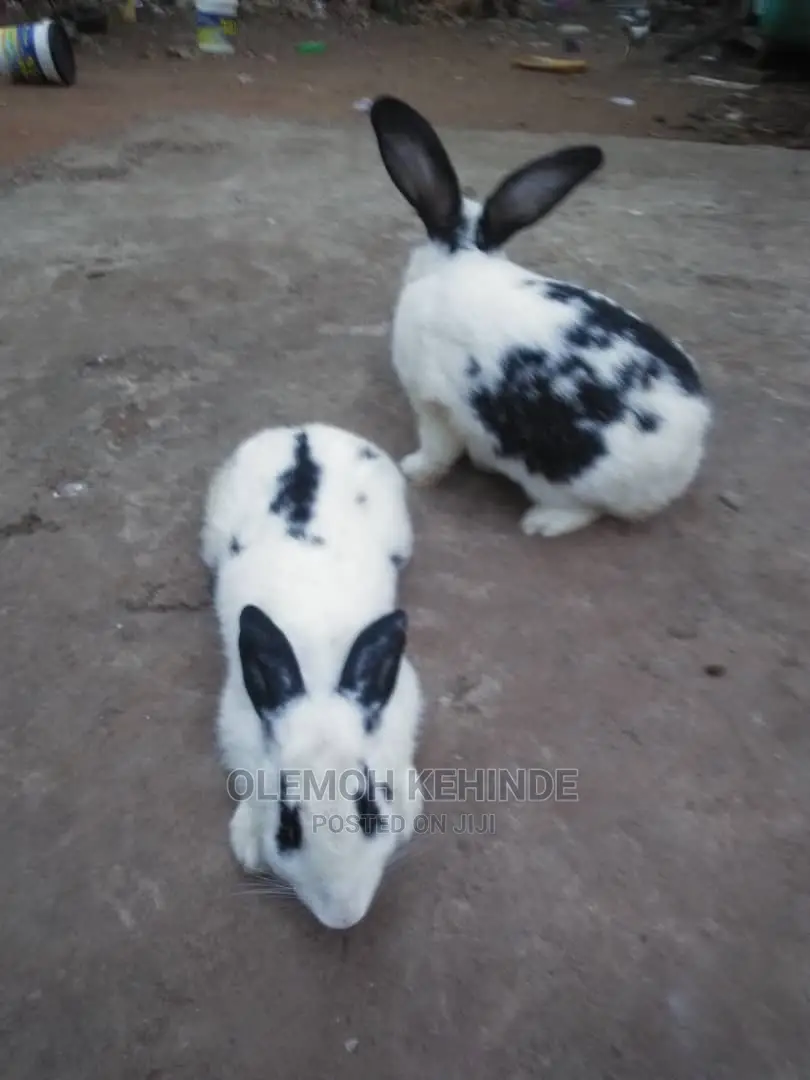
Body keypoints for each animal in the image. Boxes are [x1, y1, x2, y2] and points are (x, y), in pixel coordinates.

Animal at [368, 95, 713, 539]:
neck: (461, 258)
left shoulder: (432, 405)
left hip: (559, 481)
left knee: (586, 511)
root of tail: (686, 457)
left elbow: (438, 450)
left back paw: (540, 523)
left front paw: (414, 470)